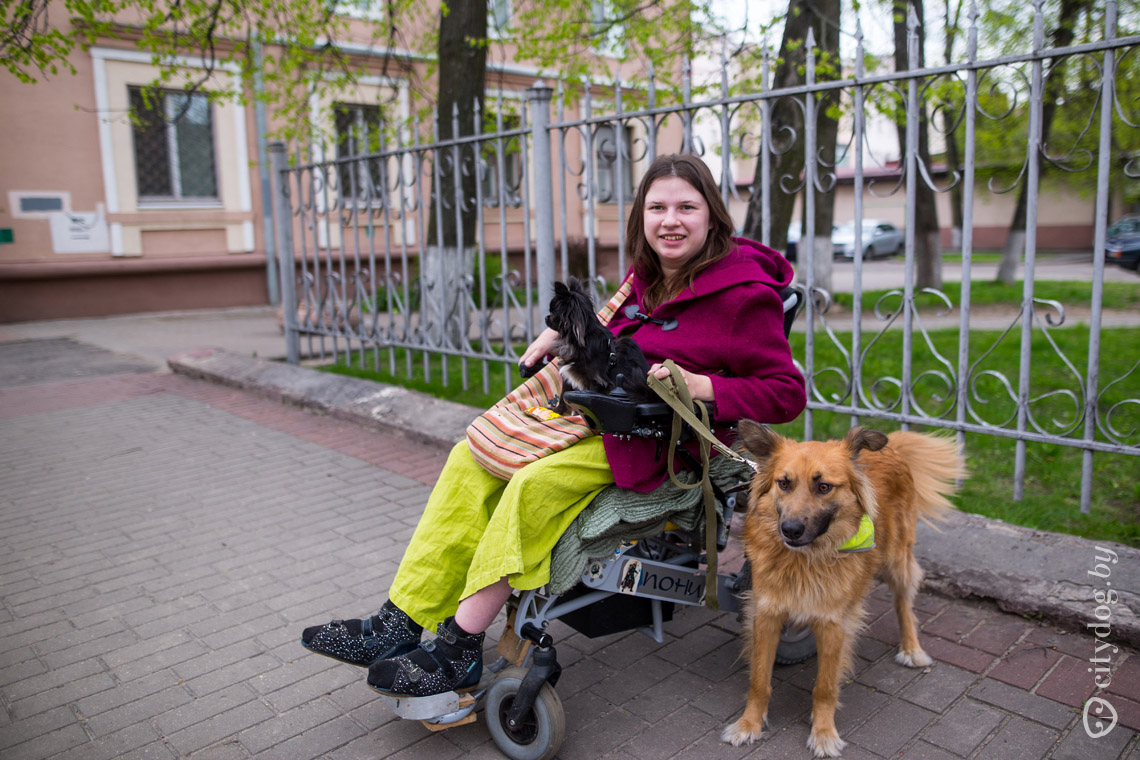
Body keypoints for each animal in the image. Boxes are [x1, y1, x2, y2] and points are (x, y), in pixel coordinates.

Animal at [542, 278, 652, 412]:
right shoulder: (568, 374)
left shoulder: (596, 382)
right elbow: (563, 395)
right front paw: (557, 412)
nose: (546, 317)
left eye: (553, 313)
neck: (579, 340)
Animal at [720, 419, 962, 756]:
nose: (790, 530)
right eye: (784, 483)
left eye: (824, 487)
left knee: (904, 602)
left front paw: (823, 734)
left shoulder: (833, 623)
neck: (804, 560)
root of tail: (893, 448)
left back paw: (912, 649)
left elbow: (824, 687)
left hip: (898, 559)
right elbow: (758, 680)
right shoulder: (766, 614)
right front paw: (749, 725)